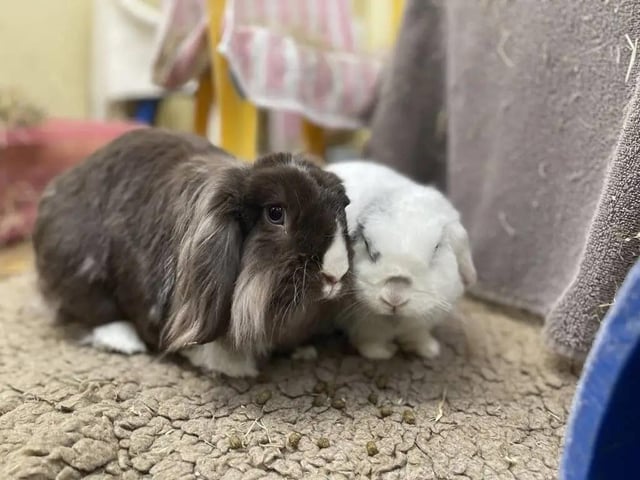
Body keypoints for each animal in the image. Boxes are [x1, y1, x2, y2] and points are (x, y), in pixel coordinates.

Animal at [33, 128, 351, 377]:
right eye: (275, 214)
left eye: (341, 209)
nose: (335, 273)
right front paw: (236, 367)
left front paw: (305, 352)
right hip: (80, 272)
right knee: (93, 312)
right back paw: (124, 343)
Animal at [325, 161, 476, 360]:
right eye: (368, 245)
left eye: (436, 248)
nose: (395, 297)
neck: (396, 320)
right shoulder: (366, 328)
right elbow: (370, 342)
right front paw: (383, 353)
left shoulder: (420, 324)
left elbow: (417, 334)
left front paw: (428, 350)